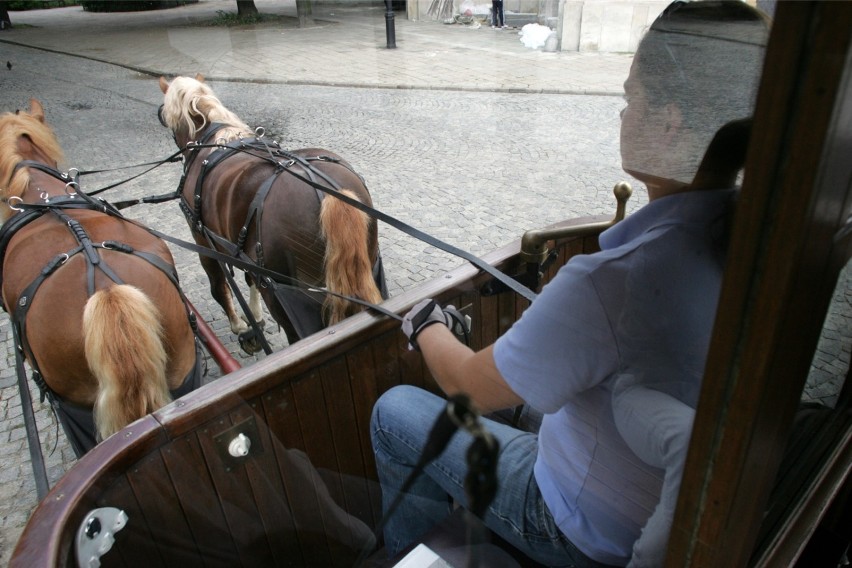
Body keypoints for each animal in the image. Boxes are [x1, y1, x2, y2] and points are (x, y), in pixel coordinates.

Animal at [158, 75, 388, 350]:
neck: (215, 139)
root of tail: (329, 195)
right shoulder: (241, 250)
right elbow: (249, 281)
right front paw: (255, 321)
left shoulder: (201, 238)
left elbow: (219, 287)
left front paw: (241, 327)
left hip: (286, 302)